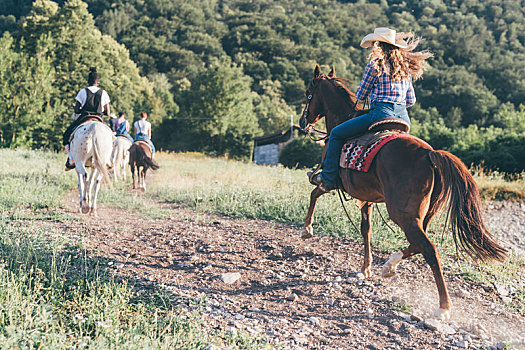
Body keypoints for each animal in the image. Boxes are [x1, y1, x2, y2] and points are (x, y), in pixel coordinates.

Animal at [296, 65, 506, 320]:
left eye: (309, 93)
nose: (302, 120)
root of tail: (429, 154)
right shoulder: (367, 197)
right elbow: (366, 230)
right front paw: (365, 269)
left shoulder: (332, 182)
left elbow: (315, 193)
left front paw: (307, 230)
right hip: (421, 215)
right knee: (417, 244)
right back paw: (390, 265)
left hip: (402, 215)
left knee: (429, 249)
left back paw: (443, 307)